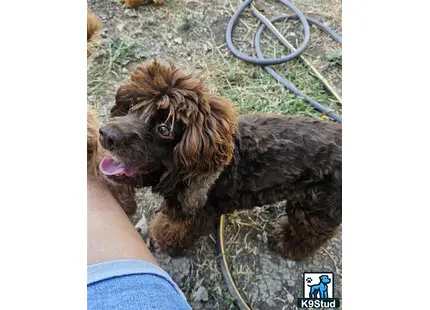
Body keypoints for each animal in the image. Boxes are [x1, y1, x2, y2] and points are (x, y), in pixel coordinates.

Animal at [97, 60, 342, 260]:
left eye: (164, 129)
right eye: (131, 106)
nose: (105, 135)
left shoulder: (193, 214)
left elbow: (175, 230)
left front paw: (165, 241)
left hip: (316, 207)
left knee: (309, 233)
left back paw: (285, 243)